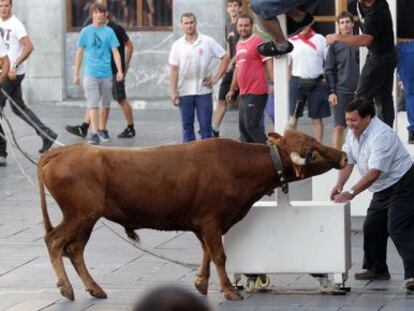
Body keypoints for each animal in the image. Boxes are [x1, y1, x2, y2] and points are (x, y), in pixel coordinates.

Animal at [38, 130, 346, 302]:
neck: (240, 166)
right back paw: (66, 288)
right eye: (314, 153)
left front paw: (200, 283)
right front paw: (229, 290)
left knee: (75, 250)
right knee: (55, 242)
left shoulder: (203, 224)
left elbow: (207, 253)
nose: (343, 156)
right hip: (79, 215)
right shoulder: (211, 221)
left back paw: (94, 288)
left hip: (87, 218)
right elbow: (219, 255)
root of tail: (63, 151)